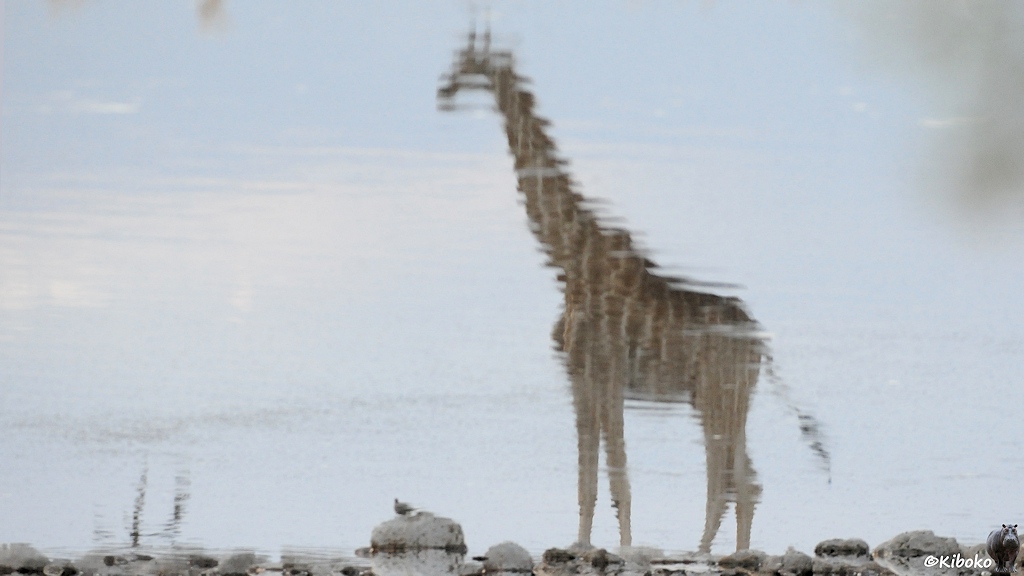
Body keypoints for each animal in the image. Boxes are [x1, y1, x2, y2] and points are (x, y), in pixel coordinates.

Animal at [438, 29, 820, 552]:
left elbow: (618, 476)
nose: (444, 91)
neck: (569, 261)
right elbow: (589, 478)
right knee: (744, 480)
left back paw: (708, 555)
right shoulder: (579, 375)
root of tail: (761, 341)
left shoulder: (607, 370)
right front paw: (581, 546)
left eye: (469, 64)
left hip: (721, 396)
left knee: (728, 481)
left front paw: (618, 550)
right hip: (718, 398)